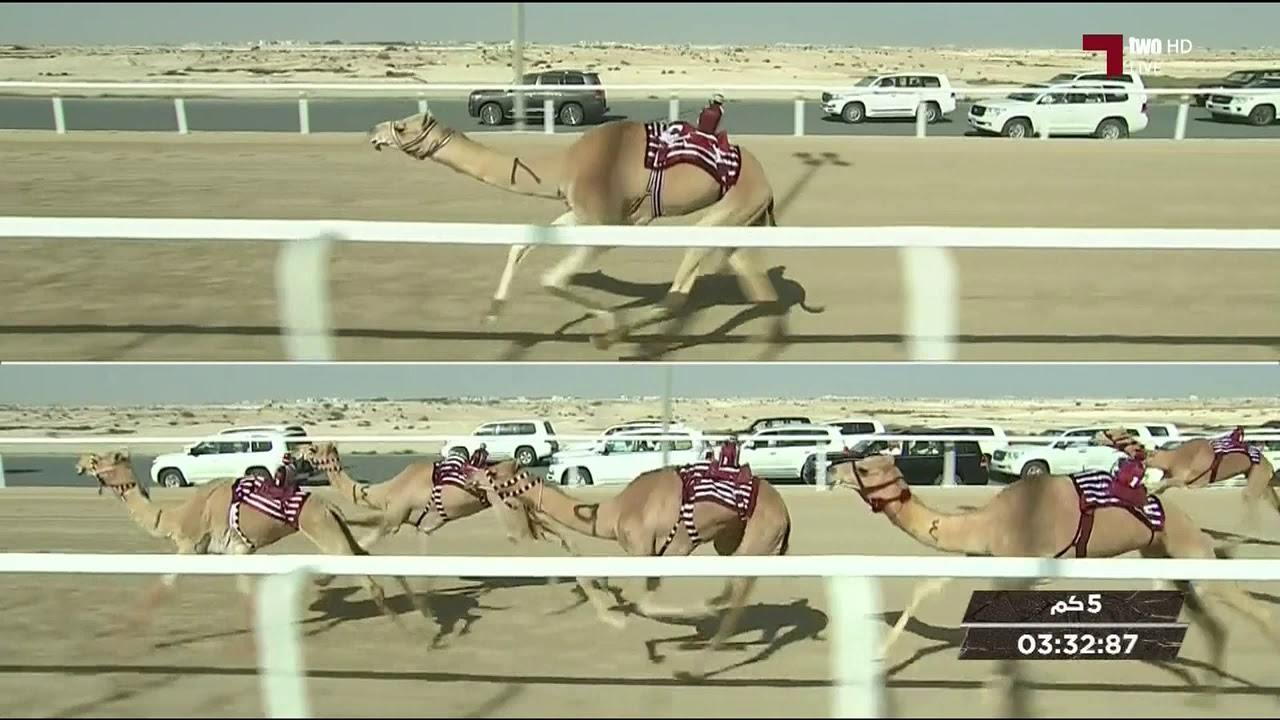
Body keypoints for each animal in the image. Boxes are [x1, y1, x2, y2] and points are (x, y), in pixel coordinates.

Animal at [75, 449, 424, 639]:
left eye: (98, 458)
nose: (79, 464)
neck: (175, 518)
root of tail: (329, 506)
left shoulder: (190, 547)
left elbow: (163, 588)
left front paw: (125, 632)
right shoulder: (238, 551)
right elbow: (245, 594)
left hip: (322, 529)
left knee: (369, 579)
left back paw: (411, 636)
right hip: (335, 527)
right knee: (369, 556)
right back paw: (423, 617)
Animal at [366, 110, 784, 348]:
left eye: (401, 126)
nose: (375, 132)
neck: (564, 165)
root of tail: (765, 179)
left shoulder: (609, 221)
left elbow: (551, 278)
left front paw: (608, 321)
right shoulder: (579, 213)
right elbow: (522, 243)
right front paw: (493, 312)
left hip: (735, 204)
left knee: (687, 283)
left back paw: (612, 336)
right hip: (741, 220)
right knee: (755, 284)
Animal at [464, 454, 792, 680]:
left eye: (493, 471)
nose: (470, 475)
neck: (614, 513)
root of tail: (785, 514)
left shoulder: (656, 548)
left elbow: (644, 605)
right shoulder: (656, 552)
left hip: (757, 537)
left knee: (737, 595)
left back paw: (699, 661)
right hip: (732, 542)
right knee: (737, 590)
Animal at [829, 451, 1280, 701]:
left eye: (865, 469)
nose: (834, 470)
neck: (989, 521)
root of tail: (1185, 520)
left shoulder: (1023, 566)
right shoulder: (987, 556)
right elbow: (927, 587)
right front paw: (877, 656)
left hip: (1189, 550)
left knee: (1251, 609)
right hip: (1165, 559)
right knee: (1215, 623)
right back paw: (1206, 692)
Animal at [1095, 427, 1280, 532]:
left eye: (1110, 432)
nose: (1095, 435)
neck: (1171, 458)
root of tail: (1269, 465)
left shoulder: (1185, 480)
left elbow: (1155, 487)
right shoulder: (1170, 477)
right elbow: (1156, 491)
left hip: (1258, 475)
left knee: (1250, 499)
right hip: (1262, 481)